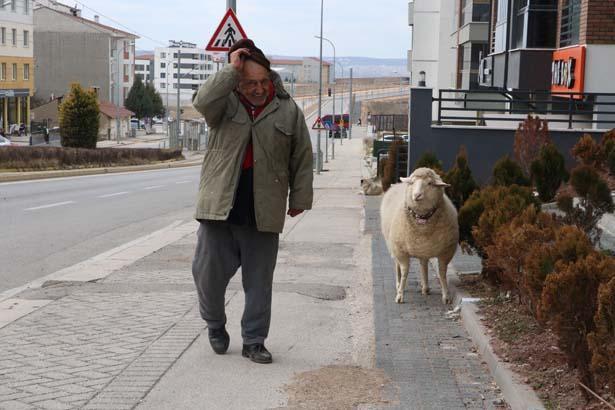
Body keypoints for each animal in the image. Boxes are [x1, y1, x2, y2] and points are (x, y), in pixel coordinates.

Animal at [380, 167, 462, 304]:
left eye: (430, 183)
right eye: (412, 182)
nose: (416, 195)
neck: (422, 221)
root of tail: (397, 184)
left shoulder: (446, 251)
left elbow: (442, 273)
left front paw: (446, 295)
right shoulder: (400, 250)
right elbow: (405, 271)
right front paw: (400, 294)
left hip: (423, 248)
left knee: (423, 264)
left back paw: (425, 287)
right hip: (393, 245)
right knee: (397, 265)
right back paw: (398, 284)